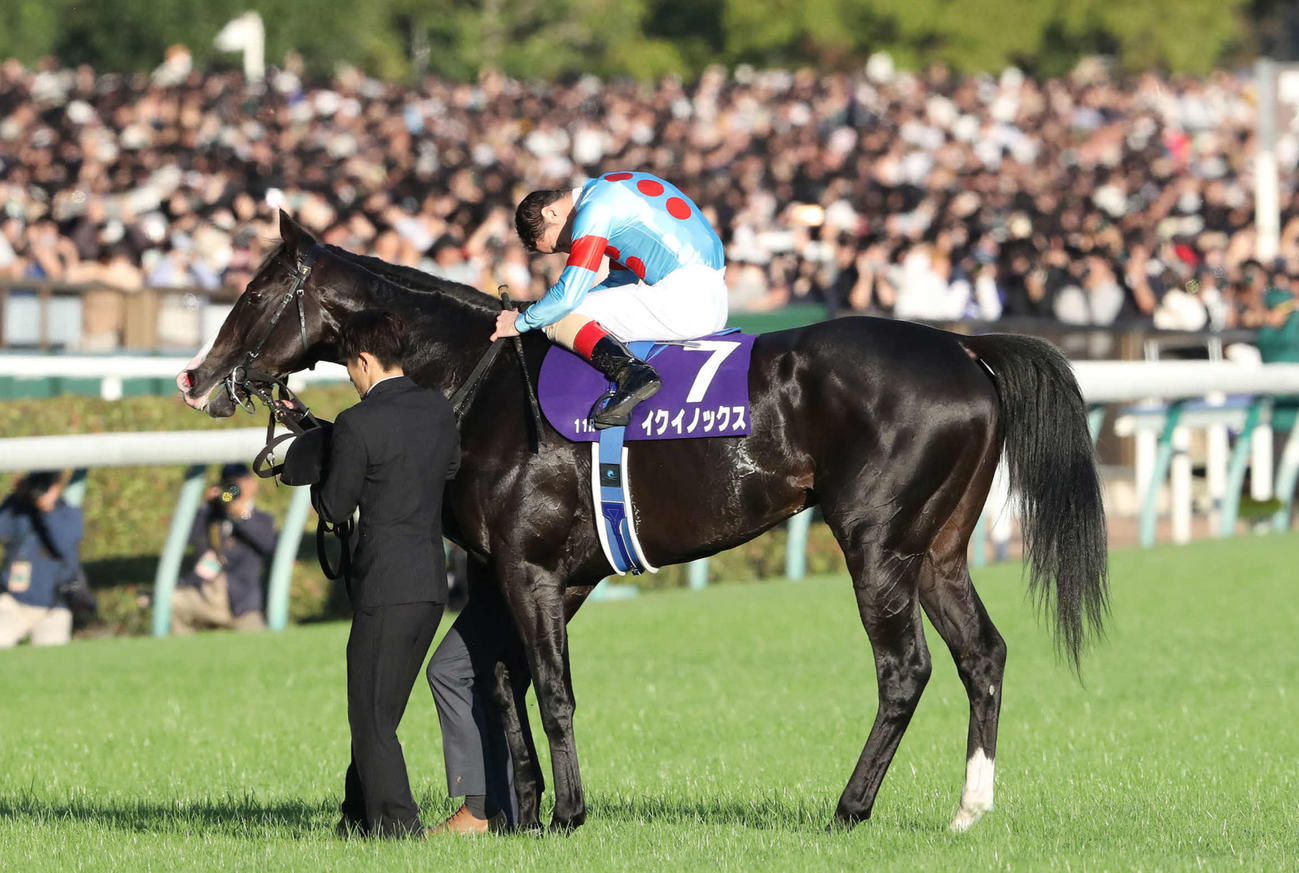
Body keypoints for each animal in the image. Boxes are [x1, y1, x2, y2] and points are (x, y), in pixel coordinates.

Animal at [178, 212, 1107, 833]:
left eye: (255, 289)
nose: (195, 377)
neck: (474, 384)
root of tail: (964, 347)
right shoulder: (523, 570)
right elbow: (497, 681)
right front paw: (517, 809)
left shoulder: (532, 567)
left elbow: (550, 688)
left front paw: (567, 813)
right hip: (937, 548)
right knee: (981, 654)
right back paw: (968, 808)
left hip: (877, 543)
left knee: (904, 668)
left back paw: (849, 806)